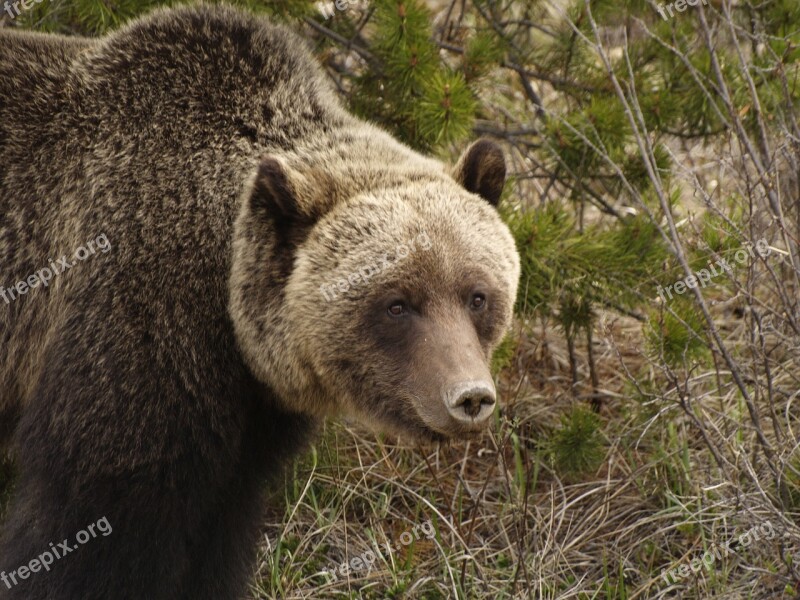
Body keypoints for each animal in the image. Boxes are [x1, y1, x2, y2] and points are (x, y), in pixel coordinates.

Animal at [0, 5, 520, 600]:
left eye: (477, 296)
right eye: (396, 304)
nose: (470, 397)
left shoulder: (247, 414)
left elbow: (217, 529)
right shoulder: (134, 330)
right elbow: (94, 522)